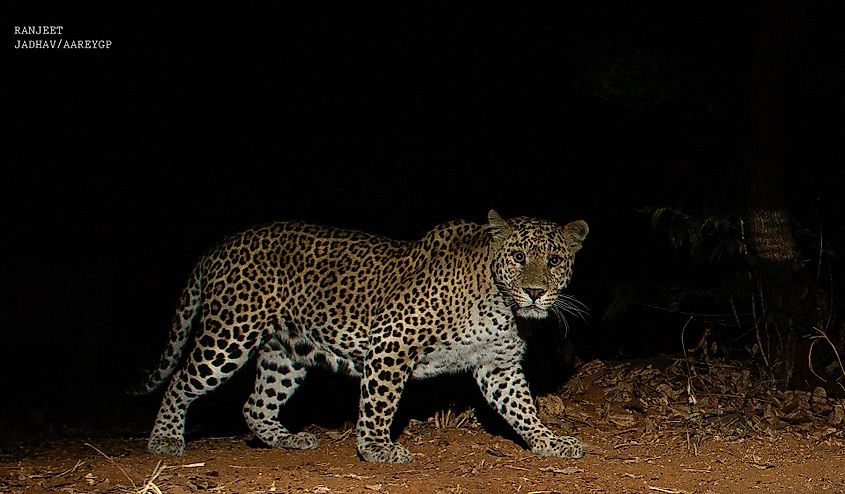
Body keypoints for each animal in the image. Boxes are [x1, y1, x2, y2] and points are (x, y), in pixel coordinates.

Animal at [132, 209, 592, 464]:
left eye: (554, 260)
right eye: (518, 256)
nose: (534, 292)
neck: (501, 306)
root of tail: (221, 245)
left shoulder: (497, 365)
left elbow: (522, 407)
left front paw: (549, 442)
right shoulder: (392, 339)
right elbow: (380, 402)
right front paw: (375, 448)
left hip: (286, 353)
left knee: (255, 404)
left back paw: (288, 440)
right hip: (229, 334)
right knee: (180, 381)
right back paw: (165, 439)